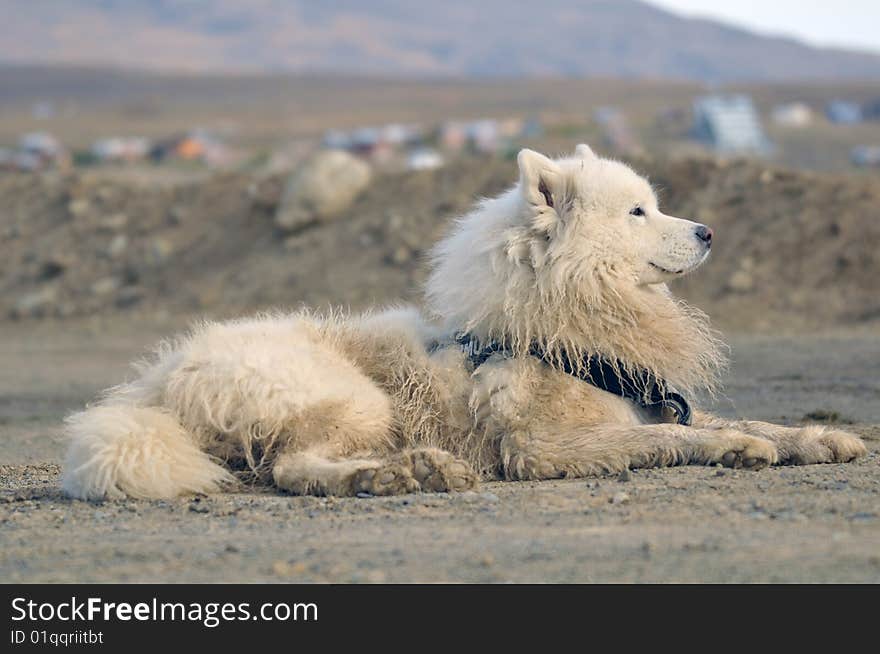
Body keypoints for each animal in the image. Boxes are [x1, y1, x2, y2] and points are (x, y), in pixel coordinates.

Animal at [63, 146, 868, 500]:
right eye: (640, 211)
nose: (708, 232)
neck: (559, 321)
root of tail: (157, 384)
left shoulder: (642, 401)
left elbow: (741, 420)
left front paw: (814, 437)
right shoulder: (544, 448)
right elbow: (666, 438)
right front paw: (736, 449)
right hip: (356, 397)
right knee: (292, 469)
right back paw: (397, 473)